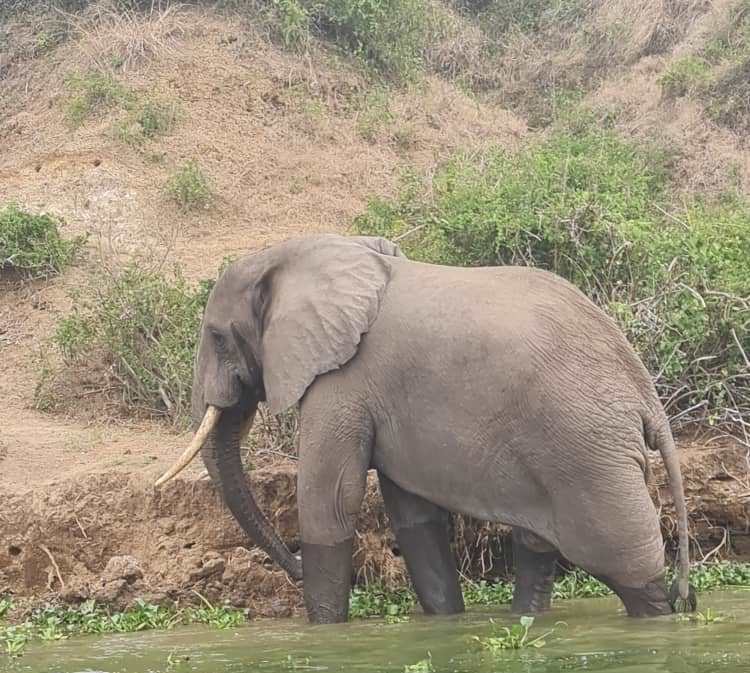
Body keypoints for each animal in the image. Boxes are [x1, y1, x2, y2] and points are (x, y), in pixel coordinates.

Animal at [156, 233, 696, 624]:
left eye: (217, 337)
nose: (291, 570)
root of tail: (645, 393)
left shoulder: (344, 379)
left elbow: (329, 500)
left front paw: (325, 632)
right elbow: (415, 518)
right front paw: (445, 623)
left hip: (586, 452)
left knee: (628, 565)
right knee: (538, 548)